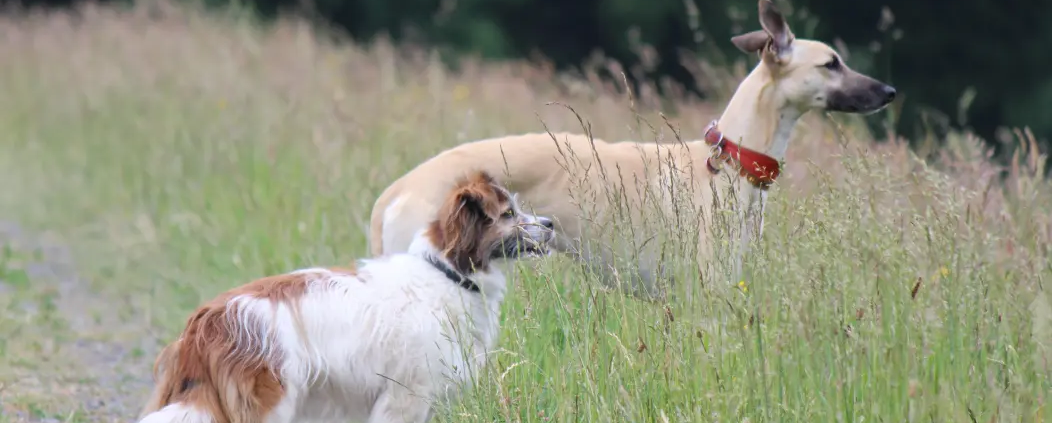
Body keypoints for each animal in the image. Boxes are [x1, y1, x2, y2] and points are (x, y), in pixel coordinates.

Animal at [139, 171, 559, 423]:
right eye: (508, 214)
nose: (551, 224)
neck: (448, 273)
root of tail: (208, 318)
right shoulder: (406, 397)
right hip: (270, 405)